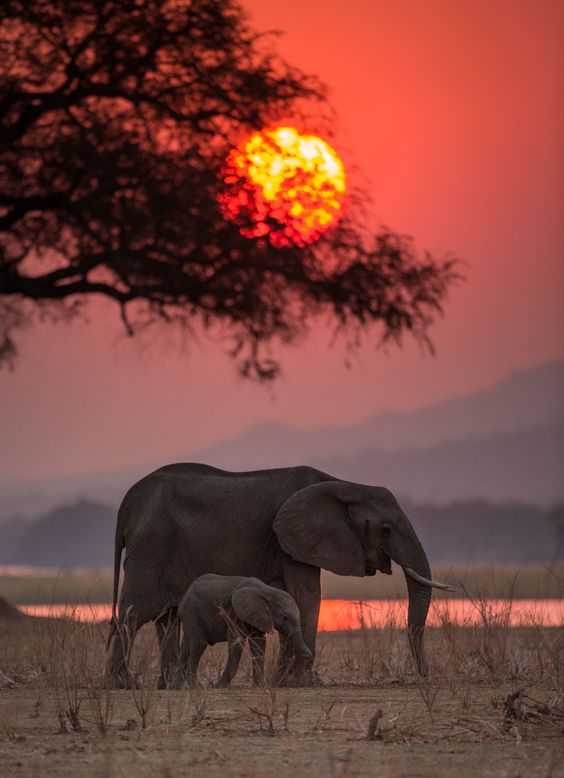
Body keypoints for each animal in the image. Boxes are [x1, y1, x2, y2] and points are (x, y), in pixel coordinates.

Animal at [177, 568, 312, 684]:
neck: (266, 591)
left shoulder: (256, 616)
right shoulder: (233, 611)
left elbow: (259, 643)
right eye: (285, 617)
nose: (309, 656)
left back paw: (179, 685)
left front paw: (261, 685)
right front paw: (219, 686)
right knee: (199, 644)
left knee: (185, 646)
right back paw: (195, 686)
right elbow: (237, 641)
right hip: (191, 612)